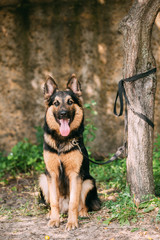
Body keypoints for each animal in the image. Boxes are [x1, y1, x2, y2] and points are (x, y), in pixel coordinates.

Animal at [39, 73, 100, 231]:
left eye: (70, 101)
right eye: (56, 103)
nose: (63, 113)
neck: (62, 140)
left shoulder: (75, 175)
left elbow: (74, 202)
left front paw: (72, 222)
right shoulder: (51, 174)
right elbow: (54, 201)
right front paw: (54, 220)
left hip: (88, 182)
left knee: (81, 204)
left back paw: (83, 213)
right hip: (43, 179)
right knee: (54, 203)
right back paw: (51, 214)